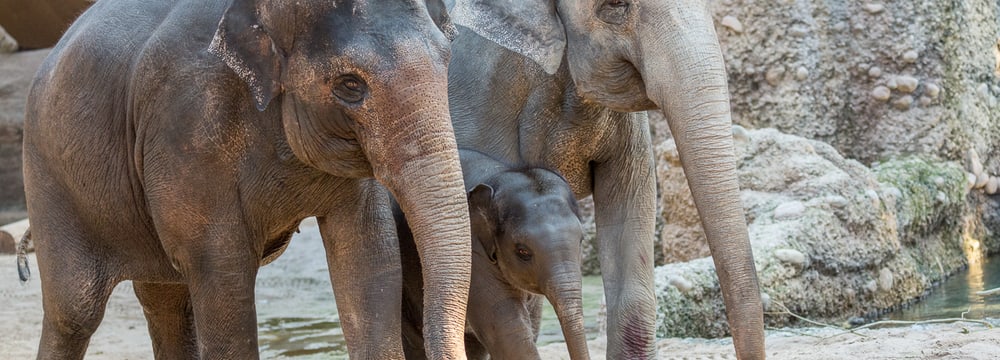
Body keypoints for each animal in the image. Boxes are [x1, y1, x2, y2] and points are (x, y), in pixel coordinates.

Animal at [20, 0, 472, 360]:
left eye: (448, 58)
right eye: (349, 85)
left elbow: (367, 253)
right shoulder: (187, 127)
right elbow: (222, 271)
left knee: (165, 301)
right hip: (49, 177)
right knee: (74, 310)